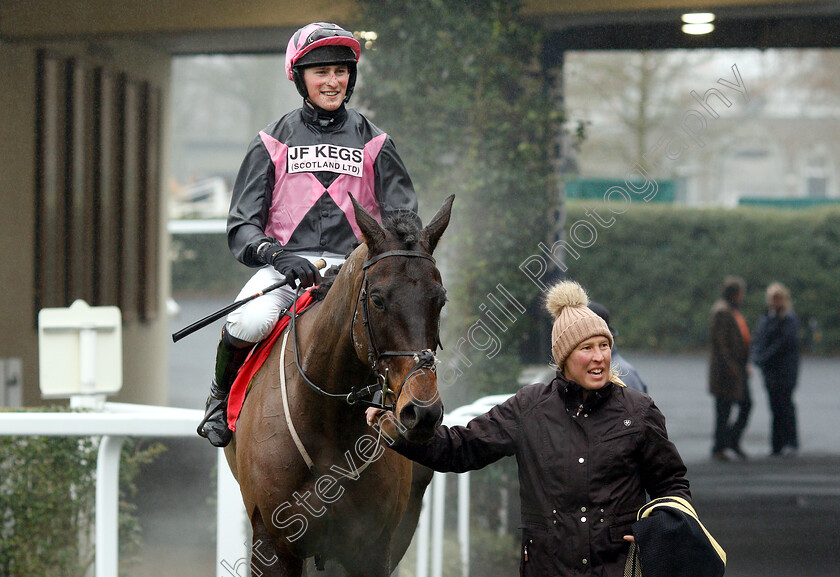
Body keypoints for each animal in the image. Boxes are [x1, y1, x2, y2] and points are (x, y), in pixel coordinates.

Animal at [223, 195, 452, 576]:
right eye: (377, 299)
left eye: (440, 299)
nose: (422, 412)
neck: (327, 423)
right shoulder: (271, 544)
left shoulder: (373, 549)